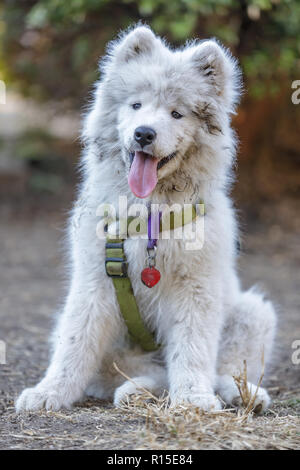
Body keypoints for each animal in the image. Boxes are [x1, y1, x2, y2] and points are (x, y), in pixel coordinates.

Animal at [15, 26, 276, 414]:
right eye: (136, 105)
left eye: (177, 113)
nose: (144, 133)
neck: (149, 215)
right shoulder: (92, 284)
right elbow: (75, 345)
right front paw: (50, 392)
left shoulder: (195, 289)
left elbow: (193, 351)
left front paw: (194, 400)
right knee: (141, 376)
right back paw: (137, 392)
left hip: (253, 313)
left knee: (223, 369)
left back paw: (244, 394)